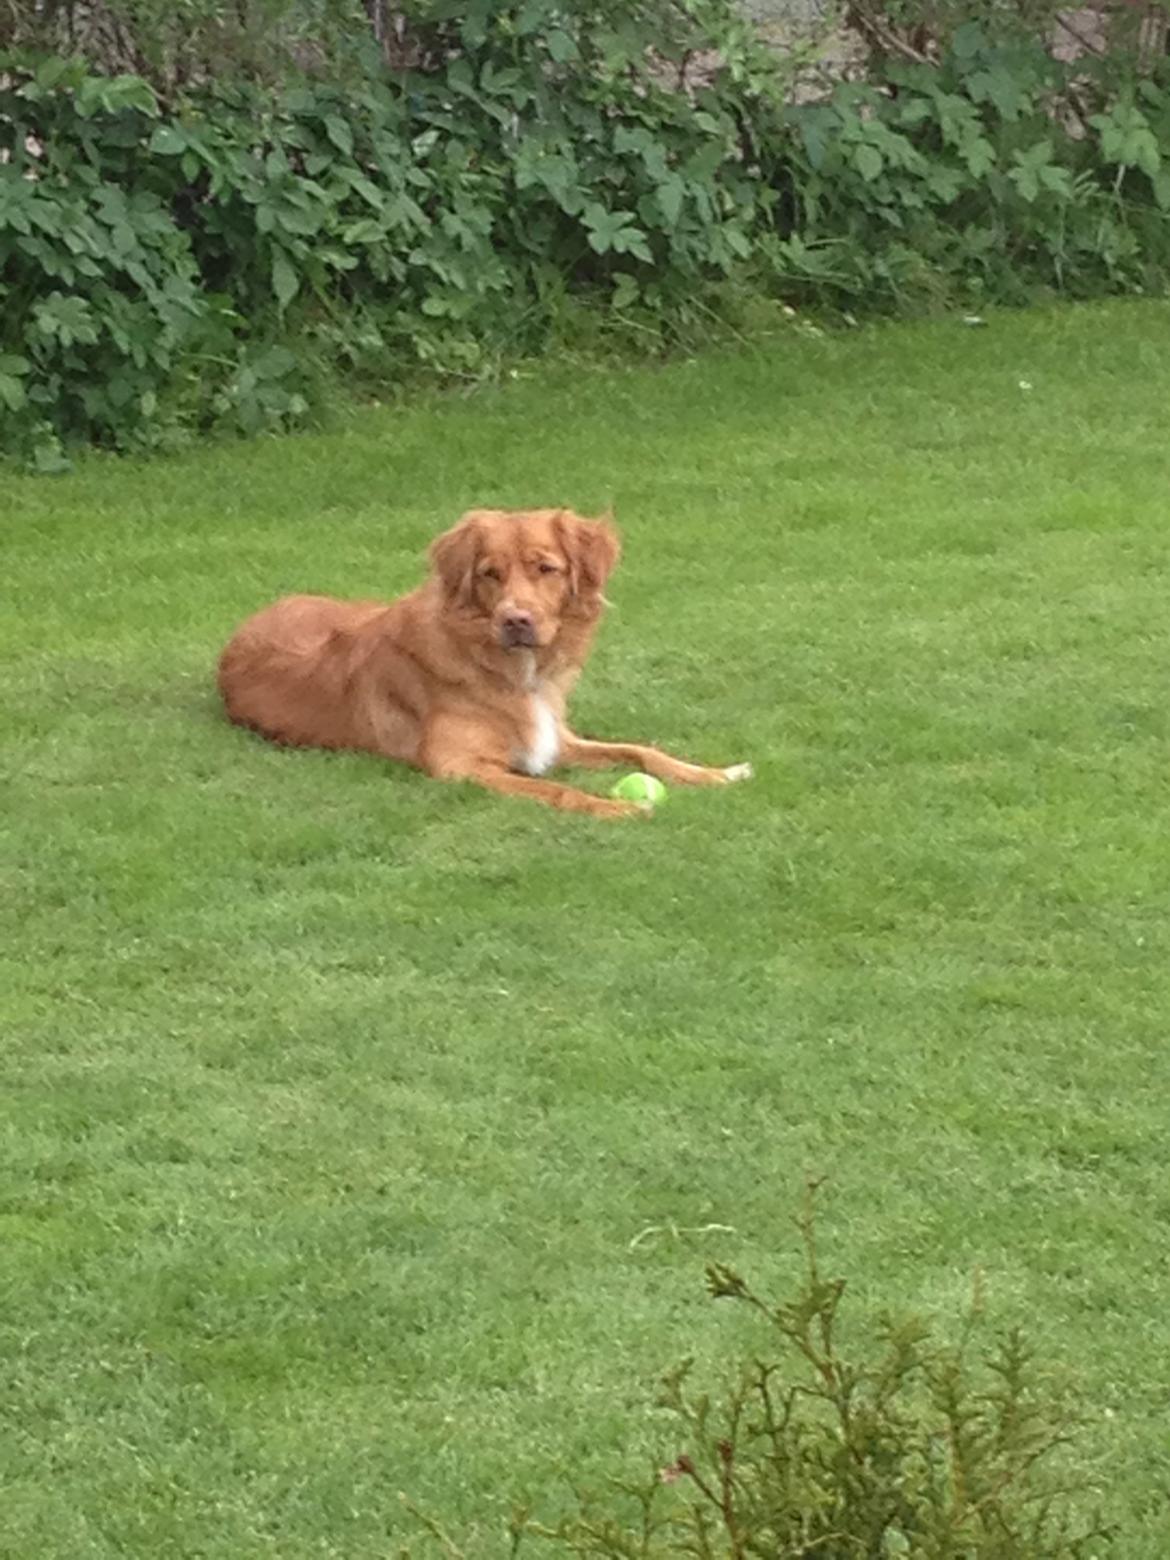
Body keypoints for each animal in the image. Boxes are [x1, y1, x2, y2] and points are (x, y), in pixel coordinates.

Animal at [216, 514, 755, 829]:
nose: (516, 621)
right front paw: (616, 806)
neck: (509, 670)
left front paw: (715, 774)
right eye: (490, 574)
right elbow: (555, 789)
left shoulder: (555, 738)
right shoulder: (461, 767)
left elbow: (642, 751)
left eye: (546, 569)